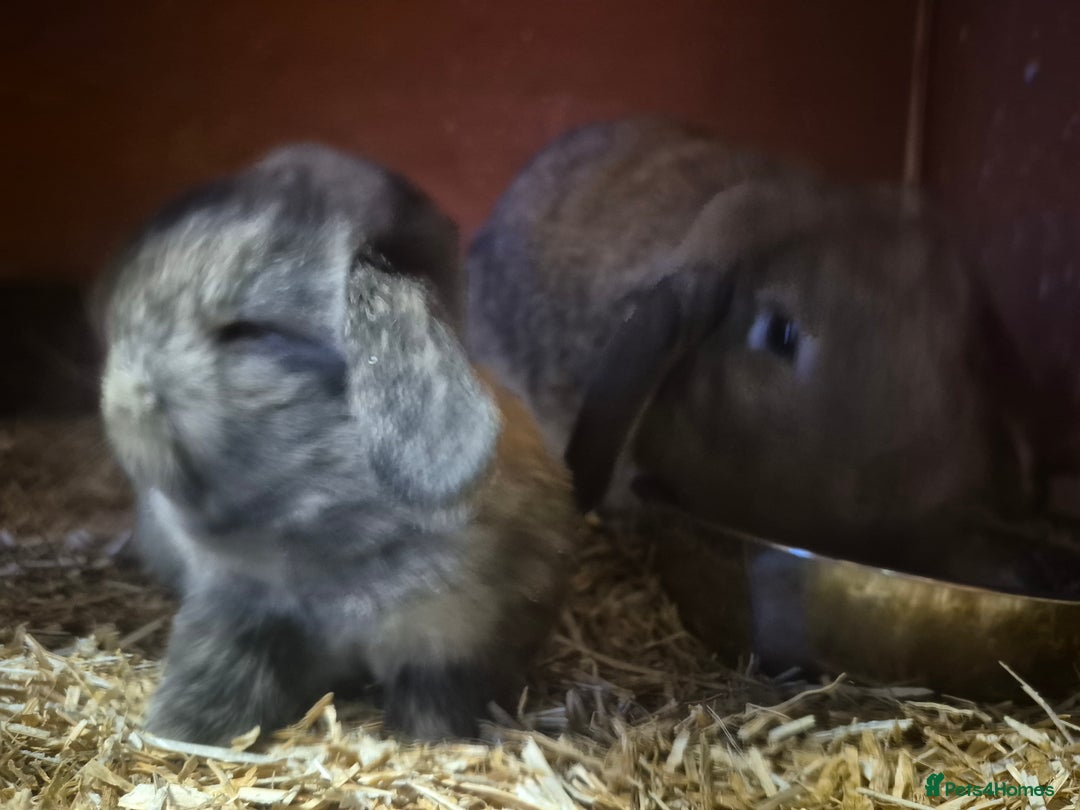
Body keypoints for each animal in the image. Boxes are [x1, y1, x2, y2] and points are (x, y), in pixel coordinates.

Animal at [96, 144, 576, 744]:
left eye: (250, 332)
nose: (118, 403)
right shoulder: (236, 613)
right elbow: (213, 675)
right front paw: (173, 733)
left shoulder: (449, 645)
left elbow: (435, 701)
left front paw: (431, 741)